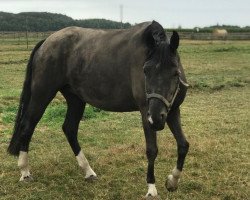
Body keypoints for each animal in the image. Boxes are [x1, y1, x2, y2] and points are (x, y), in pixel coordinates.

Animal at [7, 21, 189, 198]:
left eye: (175, 72)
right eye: (145, 70)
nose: (156, 119)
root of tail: (46, 41)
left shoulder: (172, 111)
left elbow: (183, 145)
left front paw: (172, 181)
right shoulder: (146, 112)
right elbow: (152, 150)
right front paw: (151, 189)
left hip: (75, 99)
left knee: (69, 129)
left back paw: (88, 171)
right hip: (42, 93)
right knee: (27, 126)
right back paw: (25, 172)